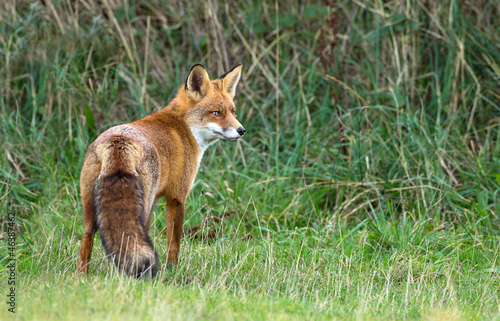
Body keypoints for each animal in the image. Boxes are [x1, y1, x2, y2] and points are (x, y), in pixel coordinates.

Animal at [75, 63, 244, 276]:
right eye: (216, 113)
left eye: (233, 112)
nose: (241, 130)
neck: (185, 127)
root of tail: (118, 142)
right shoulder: (177, 196)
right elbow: (174, 241)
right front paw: (173, 270)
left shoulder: (156, 197)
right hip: (141, 205)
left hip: (92, 206)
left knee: (87, 237)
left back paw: (82, 276)